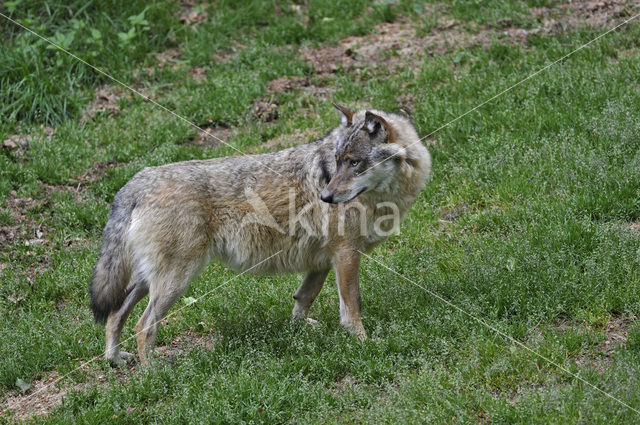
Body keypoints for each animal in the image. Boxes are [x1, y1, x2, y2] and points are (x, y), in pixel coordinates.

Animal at [89, 103, 430, 364]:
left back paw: (115, 360)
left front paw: (300, 330)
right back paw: (153, 374)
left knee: (115, 315)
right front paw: (363, 342)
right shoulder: (346, 253)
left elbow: (303, 298)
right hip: (176, 281)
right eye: (338, 163)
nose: (326, 197)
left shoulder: (323, 259)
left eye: (354, 163)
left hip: (148, 281)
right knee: (143, 325)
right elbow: (352, 306)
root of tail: (138, 180)